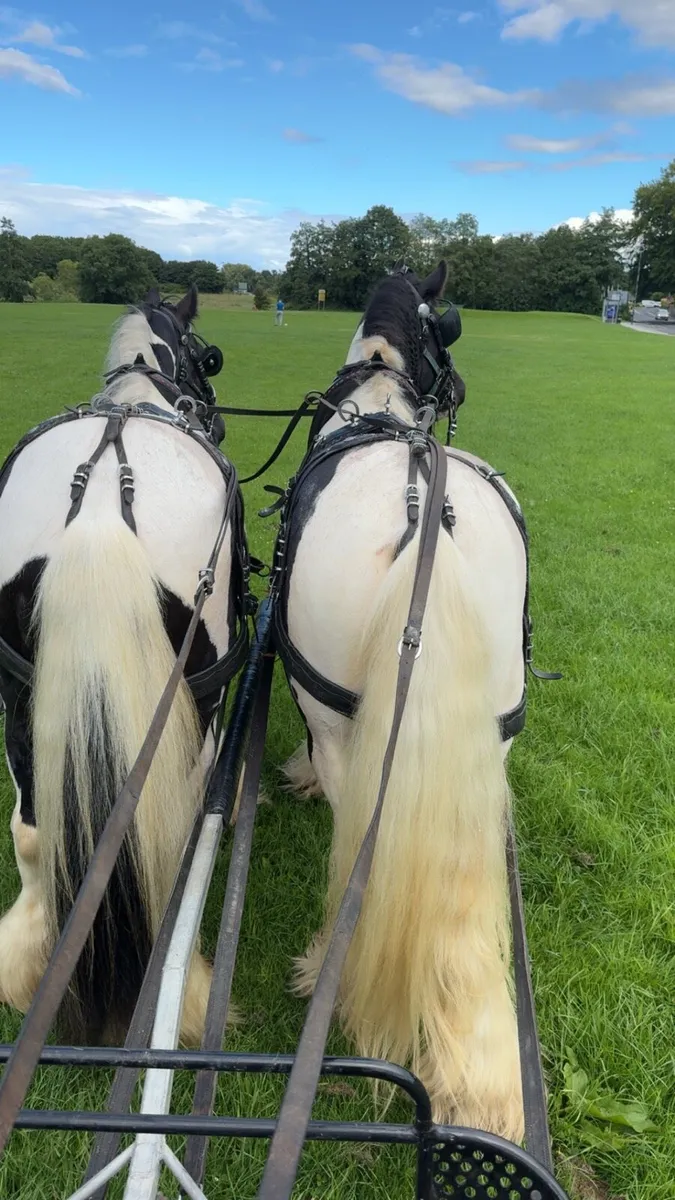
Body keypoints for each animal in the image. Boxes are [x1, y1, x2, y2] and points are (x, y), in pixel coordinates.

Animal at [0, 285, 249, 1046]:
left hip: (17, 688)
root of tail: (102, 509)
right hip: (193, 699)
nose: (215, 413)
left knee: (31, 831)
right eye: (205, 354)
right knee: (169, 829)